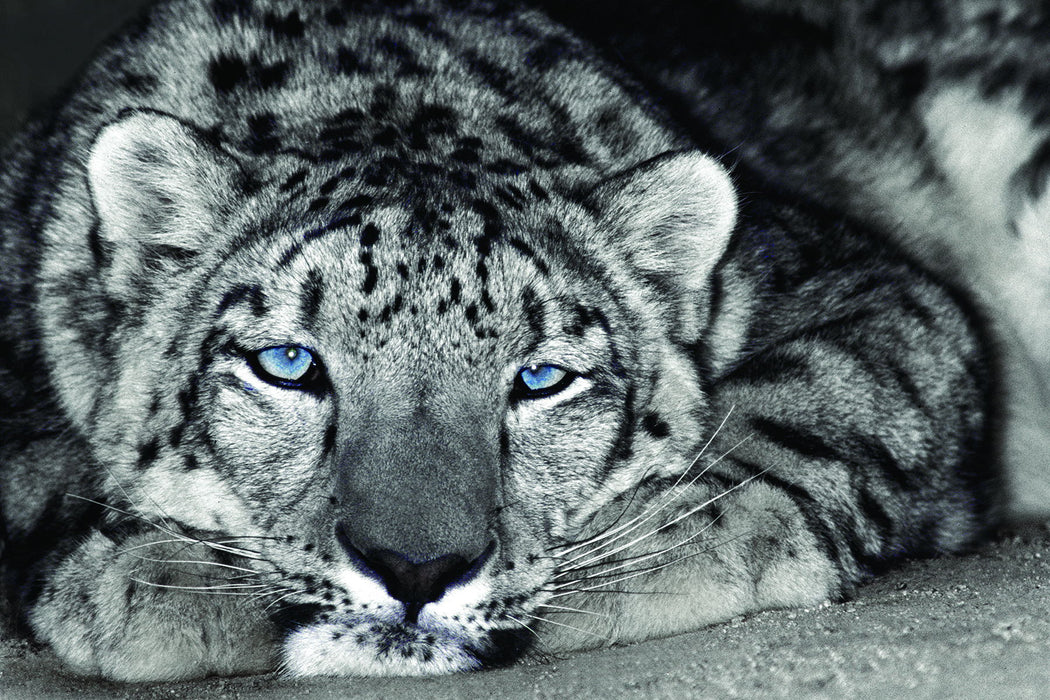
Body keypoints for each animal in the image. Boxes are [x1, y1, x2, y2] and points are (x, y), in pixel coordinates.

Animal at [0, 0, 1041, 684]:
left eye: (542, 378)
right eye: (287, 364)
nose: (416, 568)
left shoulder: (861, 281)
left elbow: (819, 396)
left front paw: (674, 540)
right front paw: (146, 570)